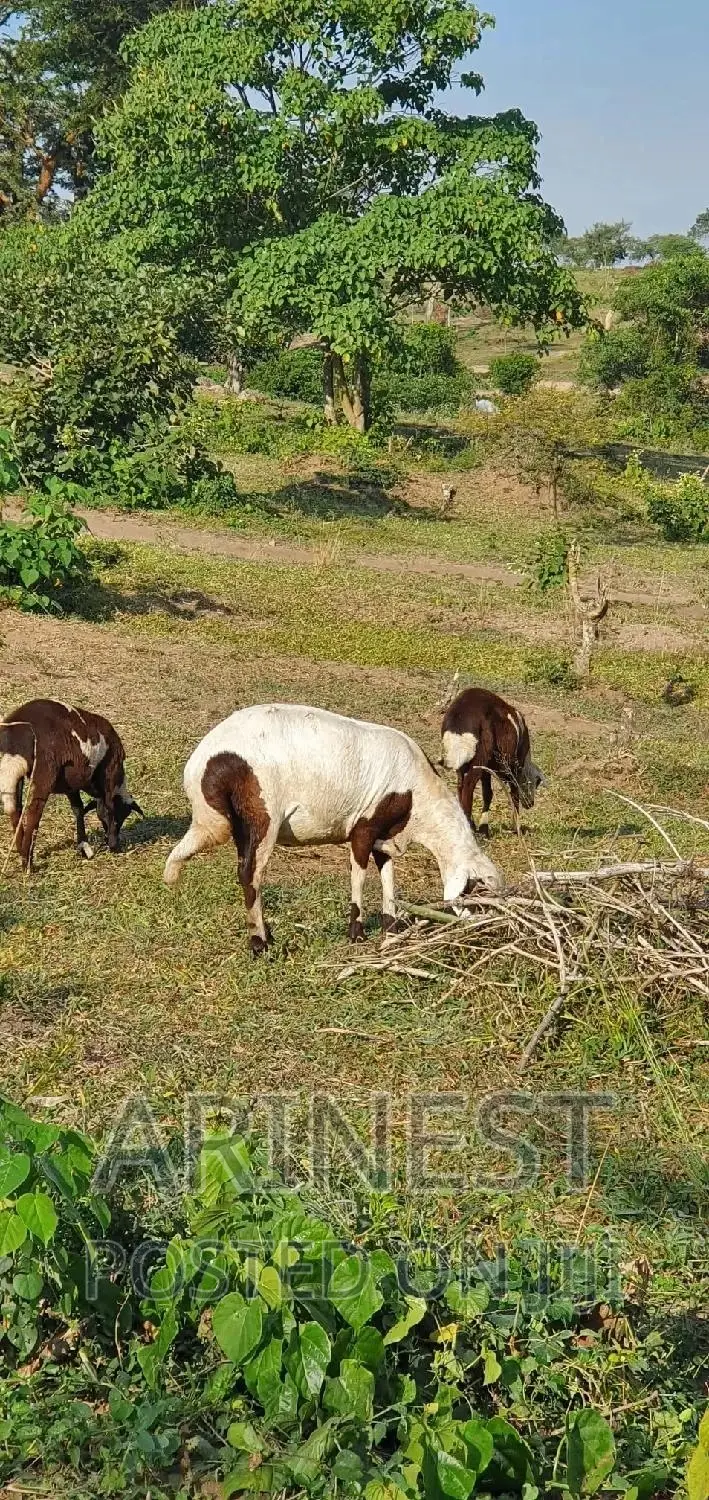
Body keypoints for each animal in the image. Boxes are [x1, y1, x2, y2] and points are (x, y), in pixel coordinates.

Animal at [0, 699, 144, 870]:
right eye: (124, 813)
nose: (110, 840)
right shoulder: (110, 774)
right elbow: (108, 808)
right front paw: (114, 845)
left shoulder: (71, 784)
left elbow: (78, 809)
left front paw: (84, 846)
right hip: (45, 771)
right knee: (34, 813)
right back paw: (28, 863)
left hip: (15, 772)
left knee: (16, 810)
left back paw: (21, 851)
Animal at [163, 703, 502, 956]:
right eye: (479, 891)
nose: (487, 932)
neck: (420, 800)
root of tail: (202, 764)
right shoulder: (363, 829)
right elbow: (359, 876)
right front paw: (357, 933)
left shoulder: (385, 836)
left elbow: (388, 877)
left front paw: (391, 928)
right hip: (263, 815)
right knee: (250, 874)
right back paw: (260, 943)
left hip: (237, 825)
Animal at [441, 687, 545, 837]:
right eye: (536, 783)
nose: (530, 804)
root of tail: (460, 723)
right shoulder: (514, 767)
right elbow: (514, 793)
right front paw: (517, 828)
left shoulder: (488, 768)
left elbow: (487, 793)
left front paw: (483, 828)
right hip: (479, 758)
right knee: (468, 787)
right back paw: (469, 827)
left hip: (464, 761)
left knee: (460, 787)